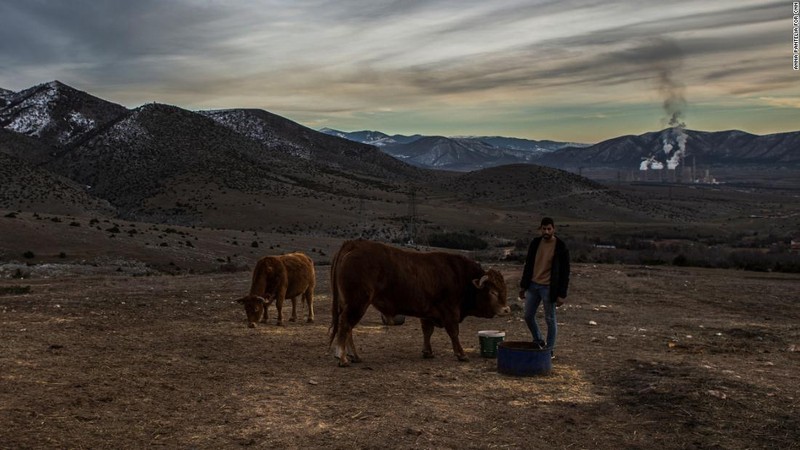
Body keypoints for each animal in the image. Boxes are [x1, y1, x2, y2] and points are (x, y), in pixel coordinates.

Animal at [328, 239, 510, 366]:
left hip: (349, 304)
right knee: (346, 325)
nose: (506, 309)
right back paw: (342, 357)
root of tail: (354, 244)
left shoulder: (428, 312)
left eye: (504, 289)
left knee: (348, 328)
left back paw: (354, 356)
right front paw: (461, 354)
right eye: (493, 292)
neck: (460, 276)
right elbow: (453, 333)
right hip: (357, 303)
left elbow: (427, 332)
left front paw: (427, 352)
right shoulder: (450, 312)